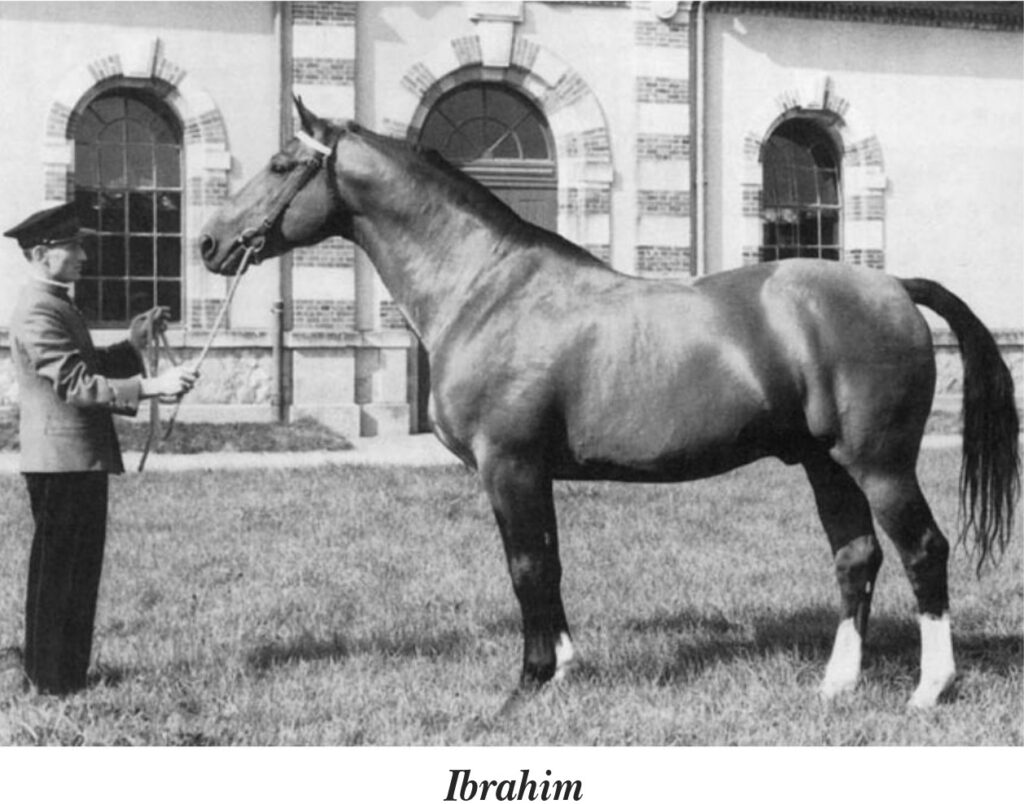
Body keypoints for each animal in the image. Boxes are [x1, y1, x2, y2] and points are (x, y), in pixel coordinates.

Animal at [199, 98, 1019, 708]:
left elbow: (528, 566)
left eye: (282, 165)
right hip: (826, 464)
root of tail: (894, 286)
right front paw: (564, 668)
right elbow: (551, 562)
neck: (487, 288)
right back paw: (837, 685)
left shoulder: (511, 465)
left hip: (881, 464)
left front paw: (528, 684)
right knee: (856, 558)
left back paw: (931, 688)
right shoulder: (529, 473)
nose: (210, 244)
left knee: (923, 550)